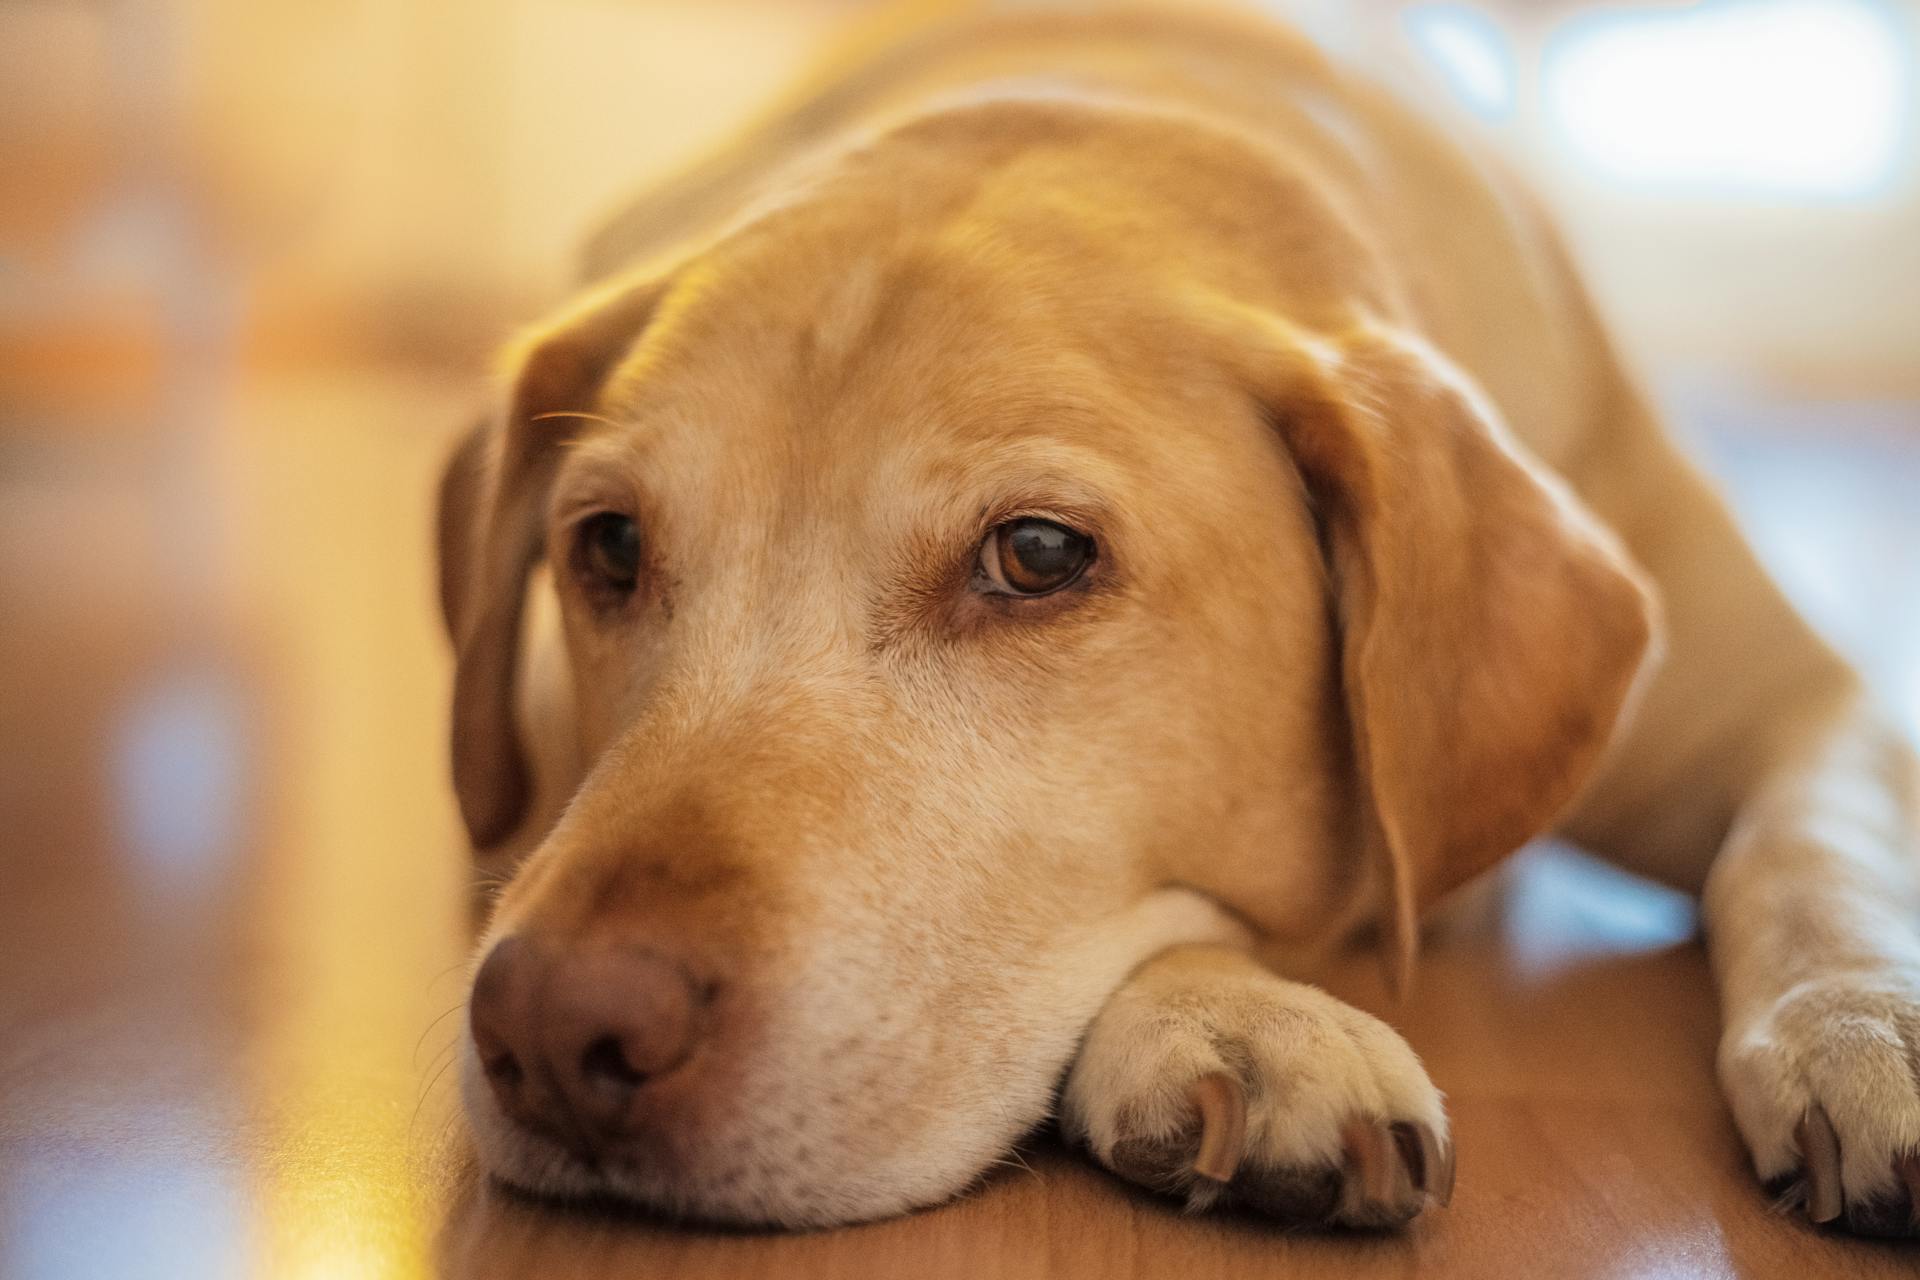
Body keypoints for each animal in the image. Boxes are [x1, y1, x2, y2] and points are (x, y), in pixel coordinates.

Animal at [435, 2, 1920, 1243]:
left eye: (1036, 554)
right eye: (610, 545)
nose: (554, 1032)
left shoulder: (1801, 699)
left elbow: (1820, 850)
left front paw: (1866, 1028)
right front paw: (1238, 1017)